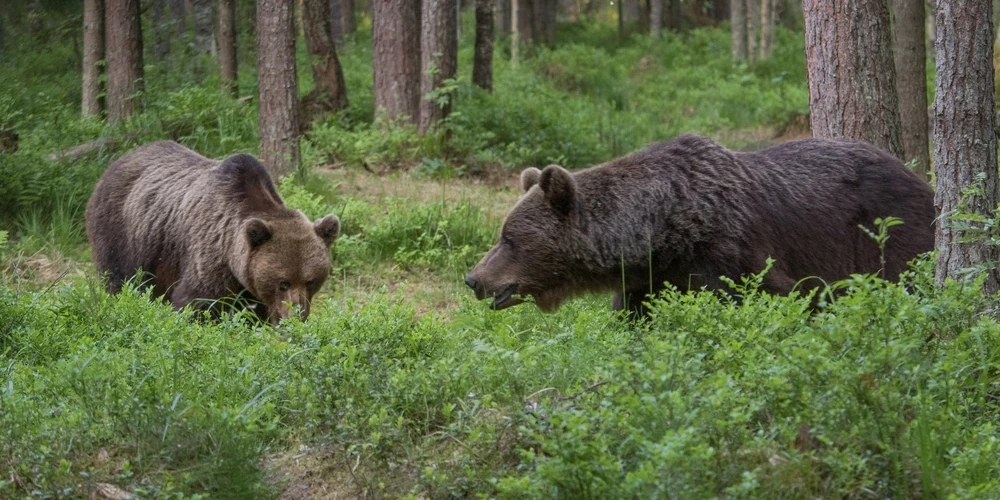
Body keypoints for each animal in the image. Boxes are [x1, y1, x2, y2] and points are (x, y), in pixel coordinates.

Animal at [85, 140, 340, 324]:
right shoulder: (210, 254)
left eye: (310, 281)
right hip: (122, 233)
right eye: (283, 282)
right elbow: (196, 302)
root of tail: (116, 162)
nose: (297, 315)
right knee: (119, 280)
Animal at [468, 134, 936, 316]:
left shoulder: (730, 253)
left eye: (509, 238)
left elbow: (766, 296)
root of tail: (920, 177)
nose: (473, 279)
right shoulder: (647, 280)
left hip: (889, 232)